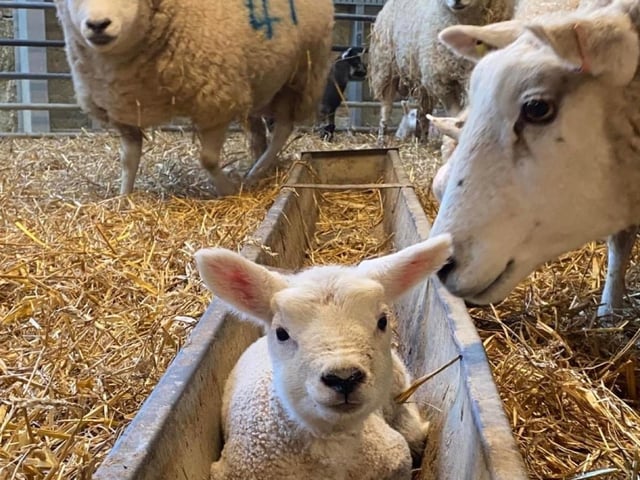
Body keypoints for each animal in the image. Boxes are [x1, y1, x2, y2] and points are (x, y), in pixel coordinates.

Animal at [53, 0, 334, 196]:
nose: (98, 25)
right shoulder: (121, 108)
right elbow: (128, 160)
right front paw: (124, 198)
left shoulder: (216, 98)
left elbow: (207, 160)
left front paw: (228, 191)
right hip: (261, 81)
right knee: (258, 131)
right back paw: (256, 161)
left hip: (301, 72)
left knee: (283, 129)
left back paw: (257, 172)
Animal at [368, 0, 515, 146]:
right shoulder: (441, 82)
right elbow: (456, 115)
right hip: (386, 65)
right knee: (386, 106)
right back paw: (381, 139)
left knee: (424, 109)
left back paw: (422, 139)